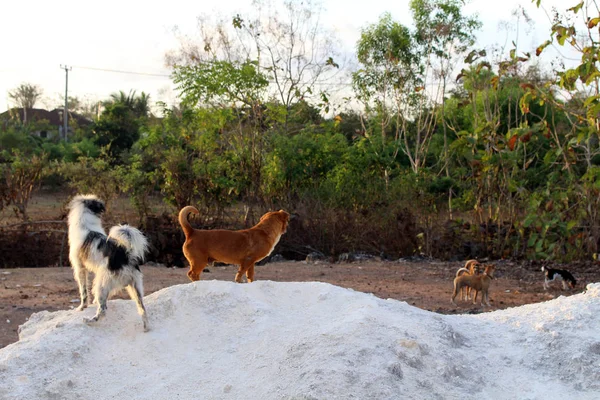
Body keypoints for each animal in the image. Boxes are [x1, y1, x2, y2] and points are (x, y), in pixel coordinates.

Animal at [67, 195, 150, 332]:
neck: (87, 225)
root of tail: (127, 256)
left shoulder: (80, 269)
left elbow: (83, 292)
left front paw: (82, 307)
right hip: (135, 288)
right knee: (143, 309)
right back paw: (146, 328)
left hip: (101, 284)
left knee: (103, 310)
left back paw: (90, 321)